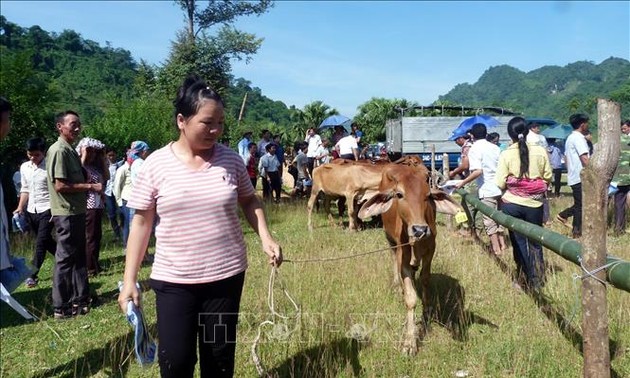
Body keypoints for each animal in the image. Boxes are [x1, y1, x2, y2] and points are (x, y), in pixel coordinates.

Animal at [360, 162, 460, 354]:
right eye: (399, 194)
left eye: (428, 196)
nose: (420, 229)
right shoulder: (403, 257)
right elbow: (411, 299)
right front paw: (409, 342)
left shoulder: (430, 251)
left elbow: (426, 279)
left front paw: (427, 311)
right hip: (390, 241)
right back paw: (397, 285)